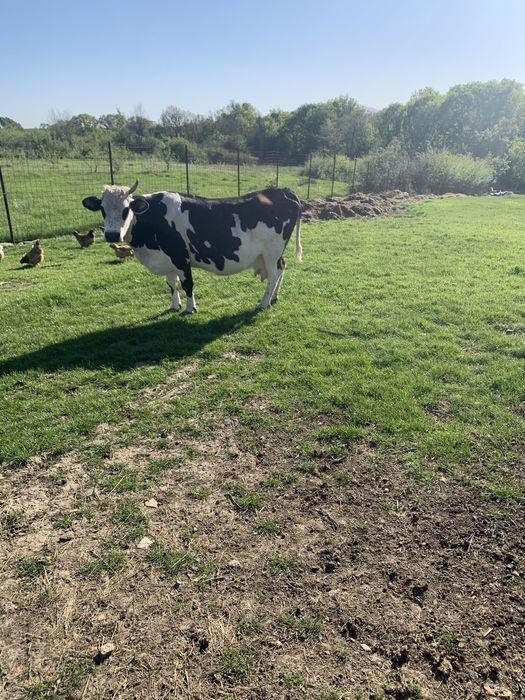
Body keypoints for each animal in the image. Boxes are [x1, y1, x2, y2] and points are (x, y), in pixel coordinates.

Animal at [82, 181, 302, 314]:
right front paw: (174, 305)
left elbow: (188, 283)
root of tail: (282, 190)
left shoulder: (180, 256)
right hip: (273, 254)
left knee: (274, 274)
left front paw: (190, 308)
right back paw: (273, 298)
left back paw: (263, 303)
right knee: (282, 267)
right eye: (102, 209)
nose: (111, 235)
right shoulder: (166, 260)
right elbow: (172, 284)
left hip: (271, 251)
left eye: (126, 209)